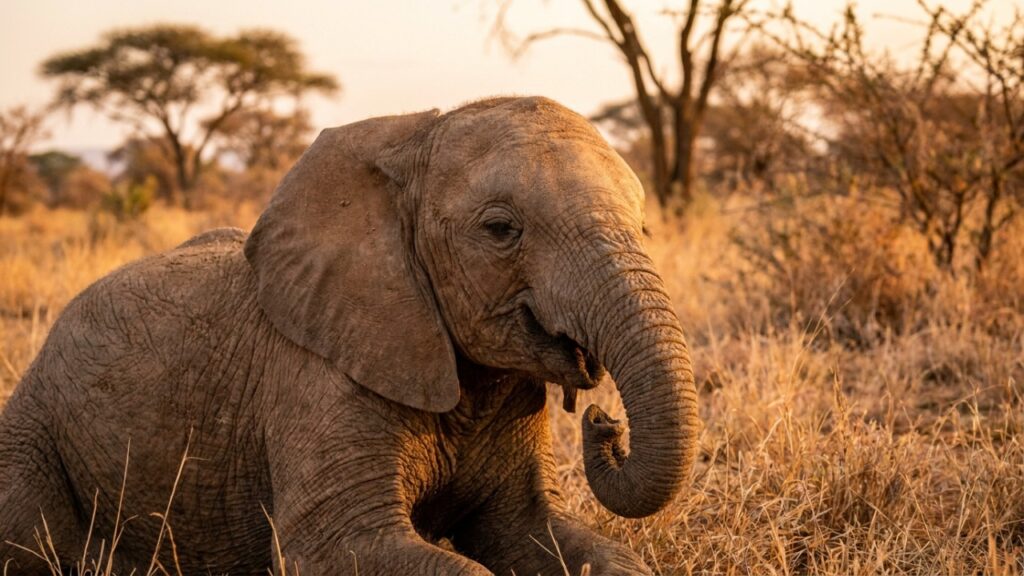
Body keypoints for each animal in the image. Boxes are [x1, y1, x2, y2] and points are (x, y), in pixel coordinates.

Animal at [0, 96, 699, 575]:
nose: (604, 423)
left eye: (644, 225)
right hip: (31, 431)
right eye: (501, 230)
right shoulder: (317, 378)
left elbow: (546, 534)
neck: (408, 142)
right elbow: (340, 547)